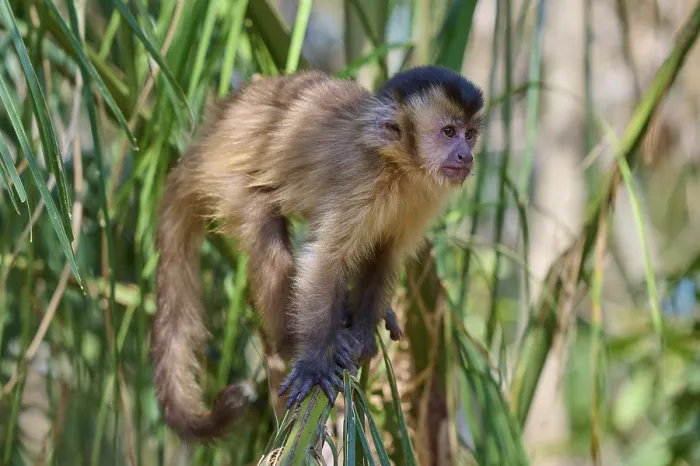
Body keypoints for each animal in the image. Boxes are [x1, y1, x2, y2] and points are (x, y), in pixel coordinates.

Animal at [151, 65, 484, 442]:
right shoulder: (361, 178)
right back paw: (289, 343)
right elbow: (325, 260)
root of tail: (205, 140)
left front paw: (361, 336)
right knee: (262, 222)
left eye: (470, 134)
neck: (398, 164)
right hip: (225, 178)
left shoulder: (423, 197)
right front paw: (314, 363)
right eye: (448, 132)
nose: (466, 155)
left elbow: (385, 255)